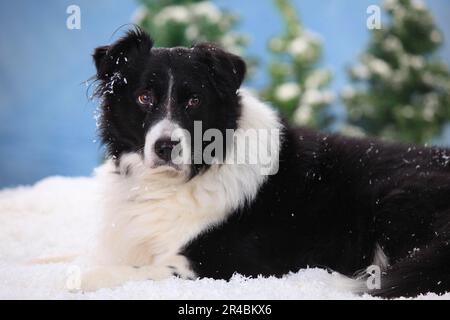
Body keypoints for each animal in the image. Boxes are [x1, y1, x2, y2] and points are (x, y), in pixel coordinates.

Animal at [81, 27, 450, 298]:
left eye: (194, 101)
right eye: (144, 97)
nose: (165, 146)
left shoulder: (227, 263)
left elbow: (143, 270)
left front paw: (84, 277)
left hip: (394, 194)